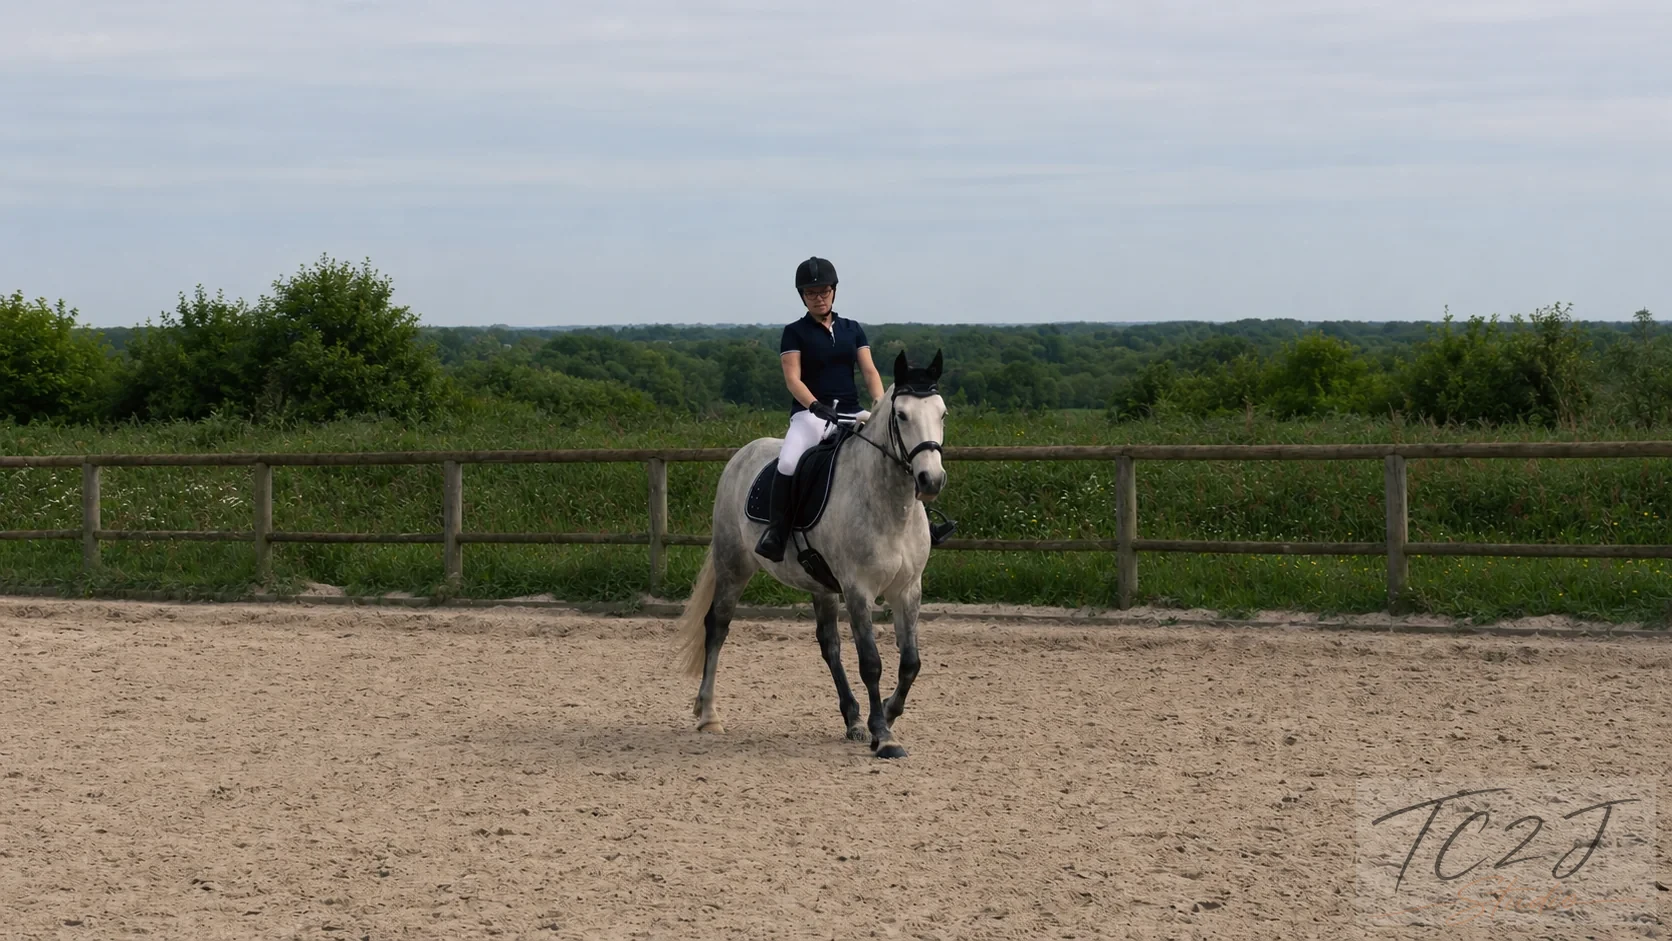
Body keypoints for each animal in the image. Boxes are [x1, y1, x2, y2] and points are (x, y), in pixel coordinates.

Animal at [674, 350, 948, 759]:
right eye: (901, 415)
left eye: (942, 413)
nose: (931, 480)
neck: (887, 504)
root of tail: (743, 454)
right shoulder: (858, 590)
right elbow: (871, 662)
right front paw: (883, 735)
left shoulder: (907, 589)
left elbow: (910, 663)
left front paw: (883, 715)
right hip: (732, 565)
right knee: (717, 627)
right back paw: (709, 715)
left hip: (820, 584)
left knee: (829, 644)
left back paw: (853, 719)